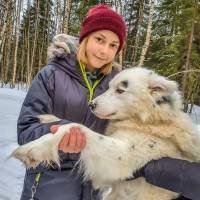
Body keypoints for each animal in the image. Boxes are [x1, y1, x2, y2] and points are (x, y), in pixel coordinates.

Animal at [10, 35, 200, 198]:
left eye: (121, 90)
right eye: (109, 86)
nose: (91, 104)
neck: (147, 121)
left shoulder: (122, 159)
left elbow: (77, 127)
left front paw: (32, 149)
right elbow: (72, 123)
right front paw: (49, 118)